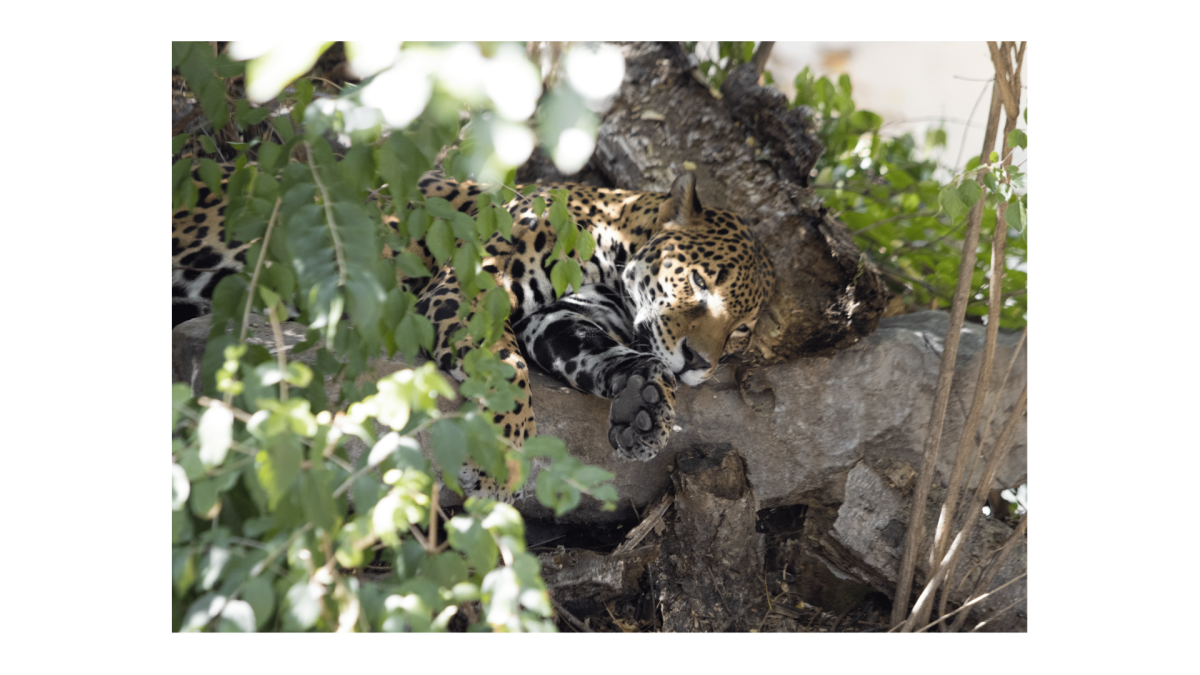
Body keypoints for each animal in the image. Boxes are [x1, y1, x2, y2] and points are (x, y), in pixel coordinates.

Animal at [171, 163, 775, 500]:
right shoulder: (472, 290)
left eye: (740, 332)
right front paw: (499, 467)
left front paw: (645, 404)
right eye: (699, 281)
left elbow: (613, 356)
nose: (699, 363)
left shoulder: (556, 320)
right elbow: (507, 371)